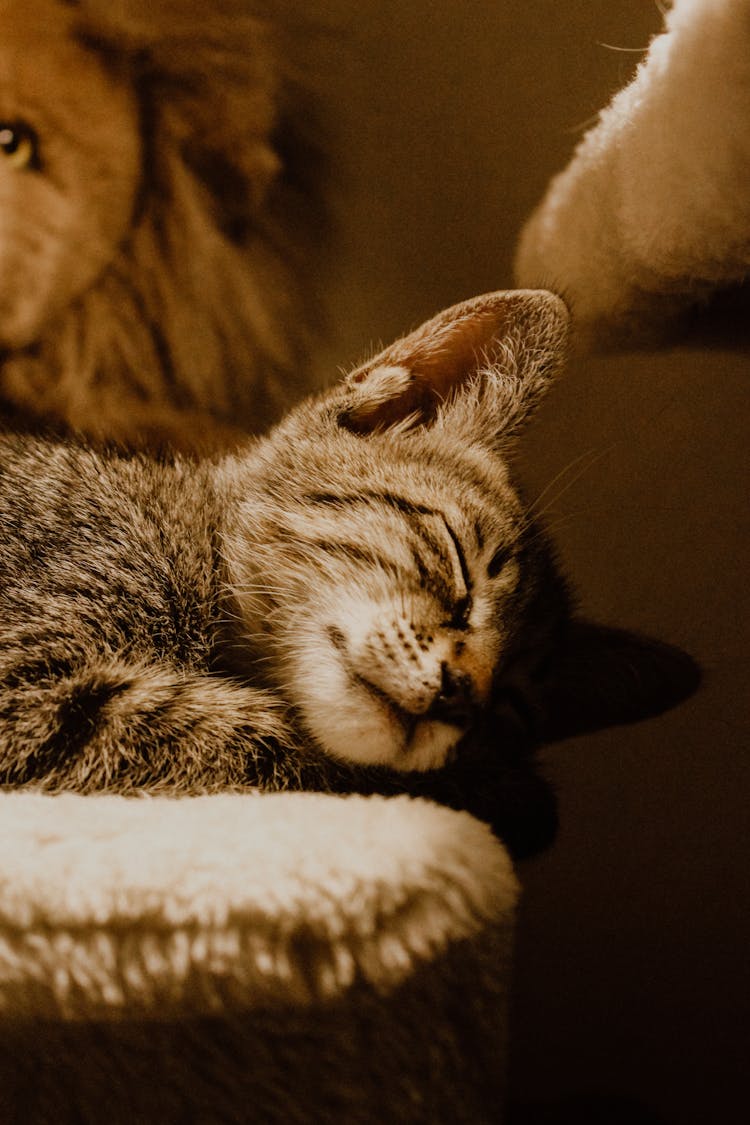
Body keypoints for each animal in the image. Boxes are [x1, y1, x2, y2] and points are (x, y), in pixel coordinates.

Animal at [0, 294, 697, 855]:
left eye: (511, 701)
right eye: (457, 564)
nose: (461, 694)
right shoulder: (29, 691)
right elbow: (266, 738)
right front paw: (504, 792)